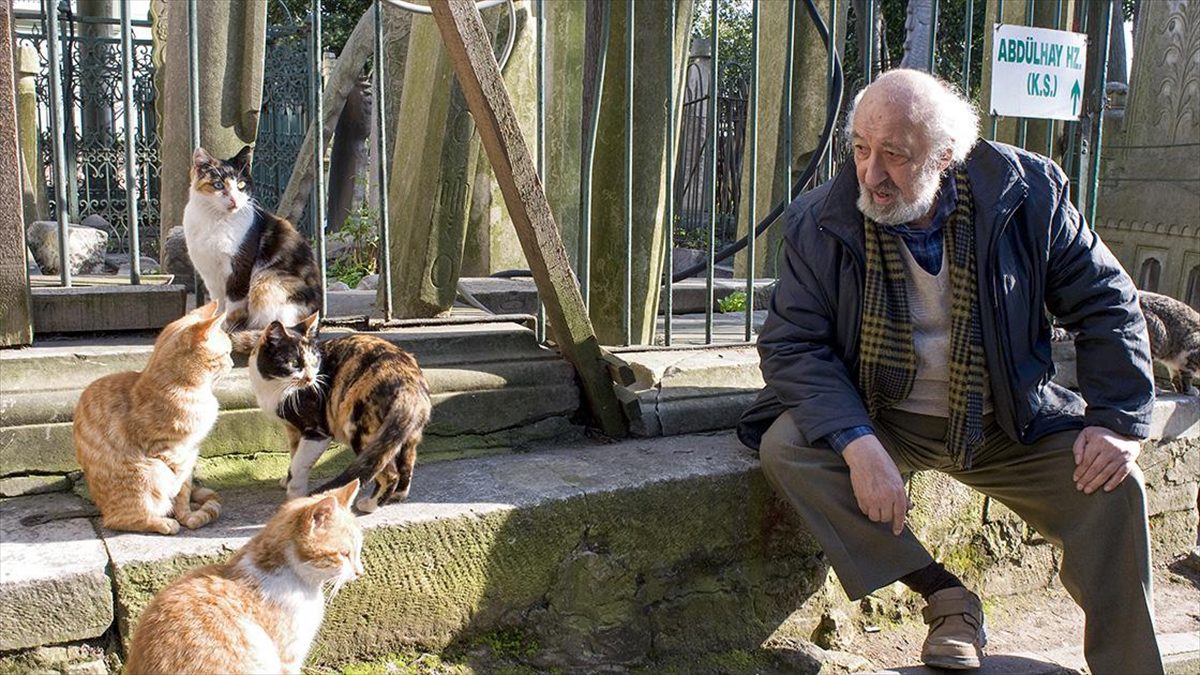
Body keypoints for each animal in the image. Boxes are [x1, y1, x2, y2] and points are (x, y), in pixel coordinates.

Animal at [76, 302, 235, 533]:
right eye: (225, 353)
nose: (233, 363)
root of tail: (102, 508)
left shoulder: (191, 452)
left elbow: (184, 492)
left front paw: (187, 515)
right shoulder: (166, 449)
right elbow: (177, 481)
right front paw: (177, 514)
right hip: (150, 471)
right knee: (120, 519)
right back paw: (163, 522)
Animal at [183, 144, 324, 348]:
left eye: (241, 185)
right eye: (218, 185)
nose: (234, 200)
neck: (215, 220)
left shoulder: (240, 267)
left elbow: (233, 303)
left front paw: (227, 328)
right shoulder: (208, 271)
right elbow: (218, 302)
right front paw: (214, 324)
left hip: (268, 282)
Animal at [248, 314, 432, 509]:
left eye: (314, 361)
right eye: (294, 363)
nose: (310, 378)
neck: (272, 386)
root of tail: (410, 383)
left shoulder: (317, 430)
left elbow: (300, 463)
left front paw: (295, 493)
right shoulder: (293, 430)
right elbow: (294, 454)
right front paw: (287, 479)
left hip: (360, 429)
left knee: (388, 472)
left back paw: (368, 504)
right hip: (405, 435)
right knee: (406, 463)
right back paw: (396, 497)